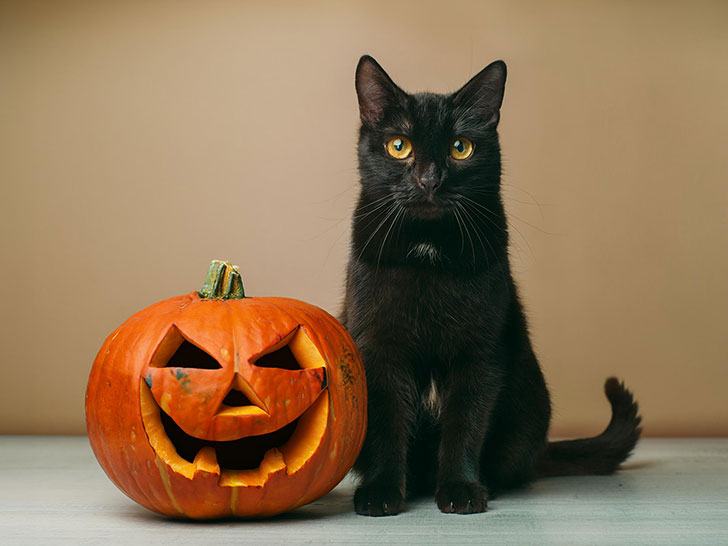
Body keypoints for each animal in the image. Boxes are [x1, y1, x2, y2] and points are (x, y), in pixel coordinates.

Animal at [338, 55, 640, 516]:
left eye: (460, 147)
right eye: (399, 146)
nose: (430, 179)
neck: (429, 249)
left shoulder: (481, 352)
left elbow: (466, 422)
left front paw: (461, 489)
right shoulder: (378, 347)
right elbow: (388, 425)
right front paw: (382, 492)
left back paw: (487, 484)